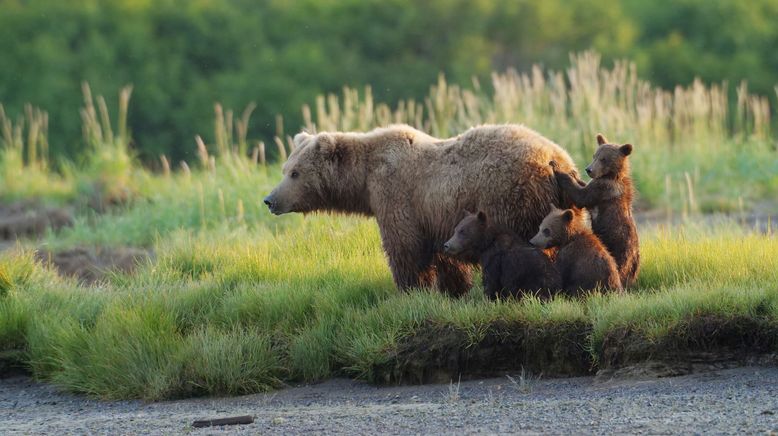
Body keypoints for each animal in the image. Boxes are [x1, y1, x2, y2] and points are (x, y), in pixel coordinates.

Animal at [264, 124, 580, 298]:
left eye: (295, 173)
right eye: (285, 169)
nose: (269, 199)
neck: (364, 179)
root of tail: (557, 159)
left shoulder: (396, 194)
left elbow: (404, 247)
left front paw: (410, 289)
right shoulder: (436, 217)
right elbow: (445, 258)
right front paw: (455, 289)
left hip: (514, 199)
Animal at [548, 135, 640, 288]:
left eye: (604, 158)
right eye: (594, 155)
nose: (589, 169)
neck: (611, 175)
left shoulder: (603, 189)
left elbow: (580, 196)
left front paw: (557, 166)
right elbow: (583, 188)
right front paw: (574, 174)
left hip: (619, 249)